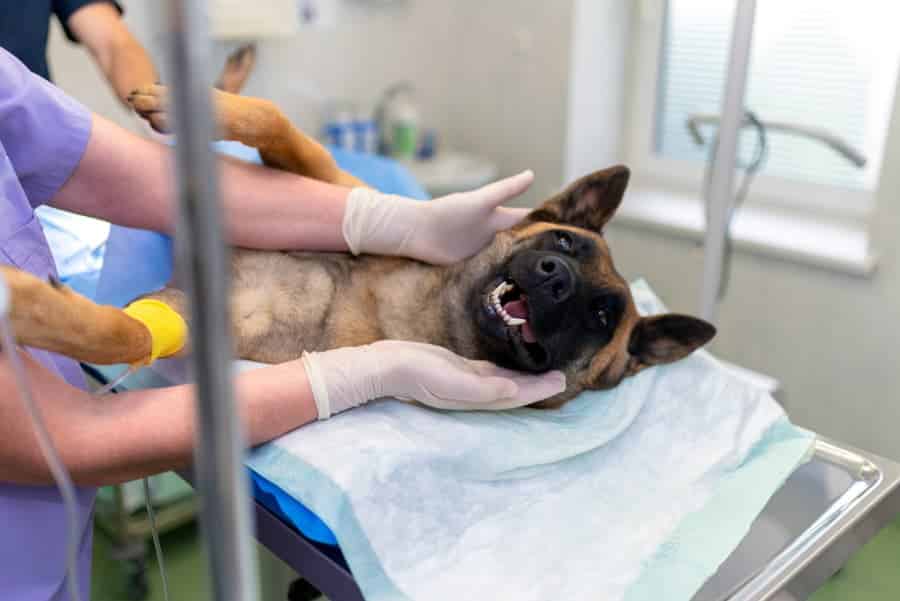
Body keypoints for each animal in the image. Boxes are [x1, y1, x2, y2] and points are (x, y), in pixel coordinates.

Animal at [1, 88, 716, 408]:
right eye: (563, 241)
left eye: (601, 317)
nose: (556, 279)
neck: (431, 307)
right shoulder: (326, 184)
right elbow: (275, 121)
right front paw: (196, 102)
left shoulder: (200, 323)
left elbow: (125, 332)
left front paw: (31, 306)